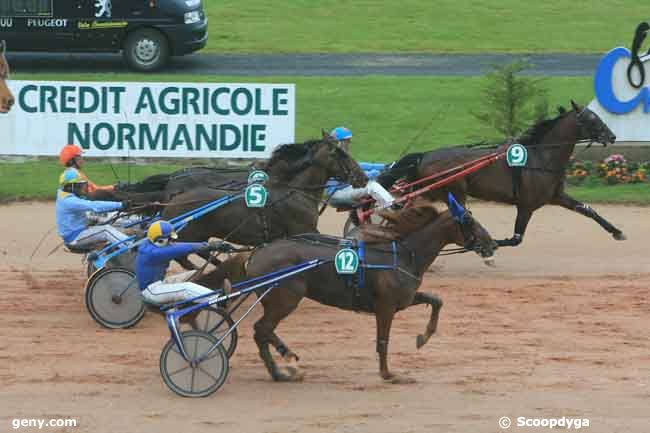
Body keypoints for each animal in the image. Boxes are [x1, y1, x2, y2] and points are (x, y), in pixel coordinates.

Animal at [209, 196, 496, 382]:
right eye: (469, 221)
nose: (492, 244)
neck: (403, 254)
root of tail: (256, 252)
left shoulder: (403, 299)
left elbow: (436, 301)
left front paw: (422, 338)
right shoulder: (385, 307)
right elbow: (383, 340)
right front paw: (388, 374)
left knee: (264, 333)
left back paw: (282, 364)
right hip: (285, 298)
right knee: (262, 330)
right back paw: (282, 366)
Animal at [378, 99, 620, 245]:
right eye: (591, 119)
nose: (612, 136)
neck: (540, 157)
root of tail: (425, 155)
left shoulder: (556, 196)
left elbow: (588, 210)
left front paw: (617, 231)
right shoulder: (527, 205)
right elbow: (515, 238)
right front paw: (486, 242)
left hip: (429, 190)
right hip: (452, 191)